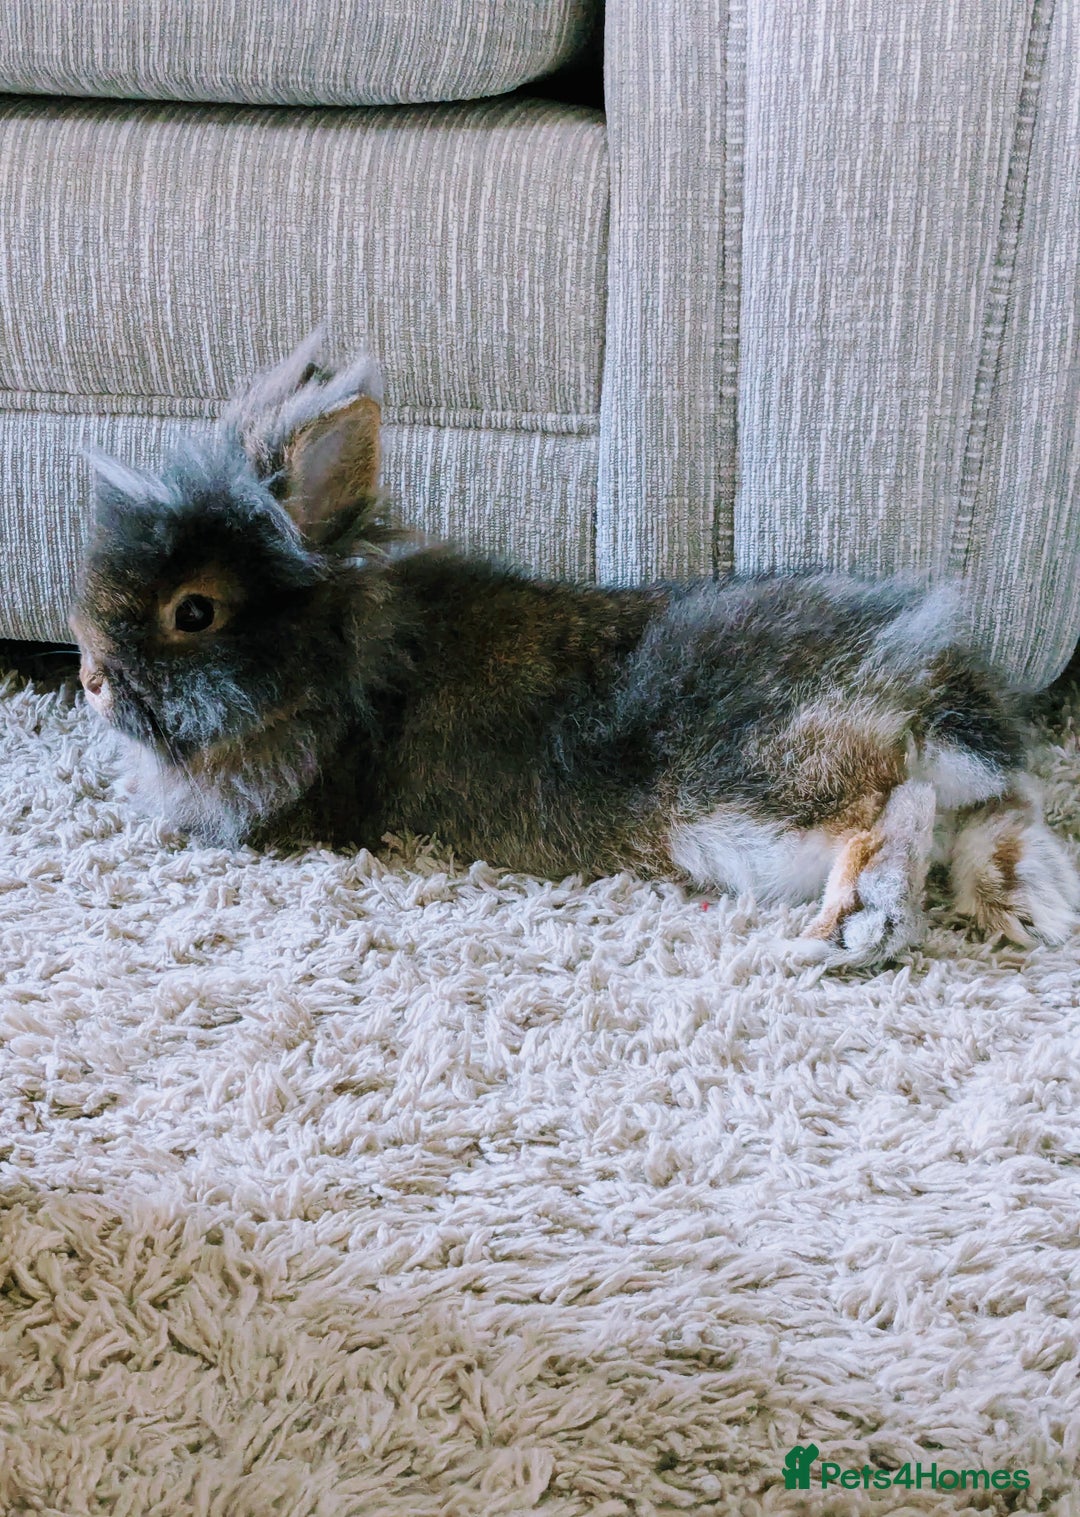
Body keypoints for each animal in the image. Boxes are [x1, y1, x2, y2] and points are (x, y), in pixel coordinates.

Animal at [69, 334, 1079, 968]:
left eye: (193, 611)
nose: (88, 678)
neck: (335, 661)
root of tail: (920, 679)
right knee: (989, 809)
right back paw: (1026, 903)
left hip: (745, 796)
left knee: (893, 805)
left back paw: (850, 929)